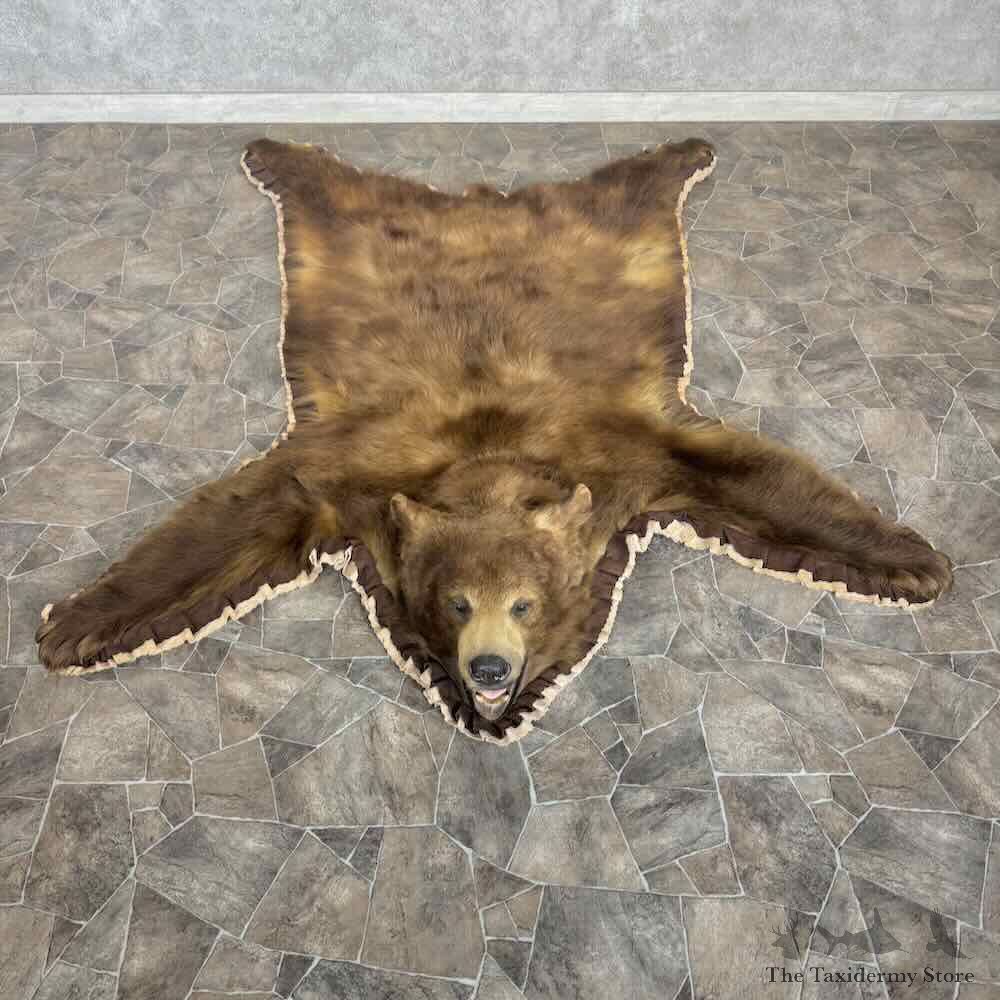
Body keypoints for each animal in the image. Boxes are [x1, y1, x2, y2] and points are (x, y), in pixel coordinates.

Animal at [36, 137, 953, 735]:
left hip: (617, 219)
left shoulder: (631, 452)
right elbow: (240, 516)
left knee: (632, 178)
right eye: (456, 602)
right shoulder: (350, 469)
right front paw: (74, 625)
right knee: (331, 179)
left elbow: (754, 479)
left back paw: (685, 150)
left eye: (525, 603)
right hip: (350, 219)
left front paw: (912, 560)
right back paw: (275, 154)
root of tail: (482, 199)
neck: (487, 461)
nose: (488, 670)